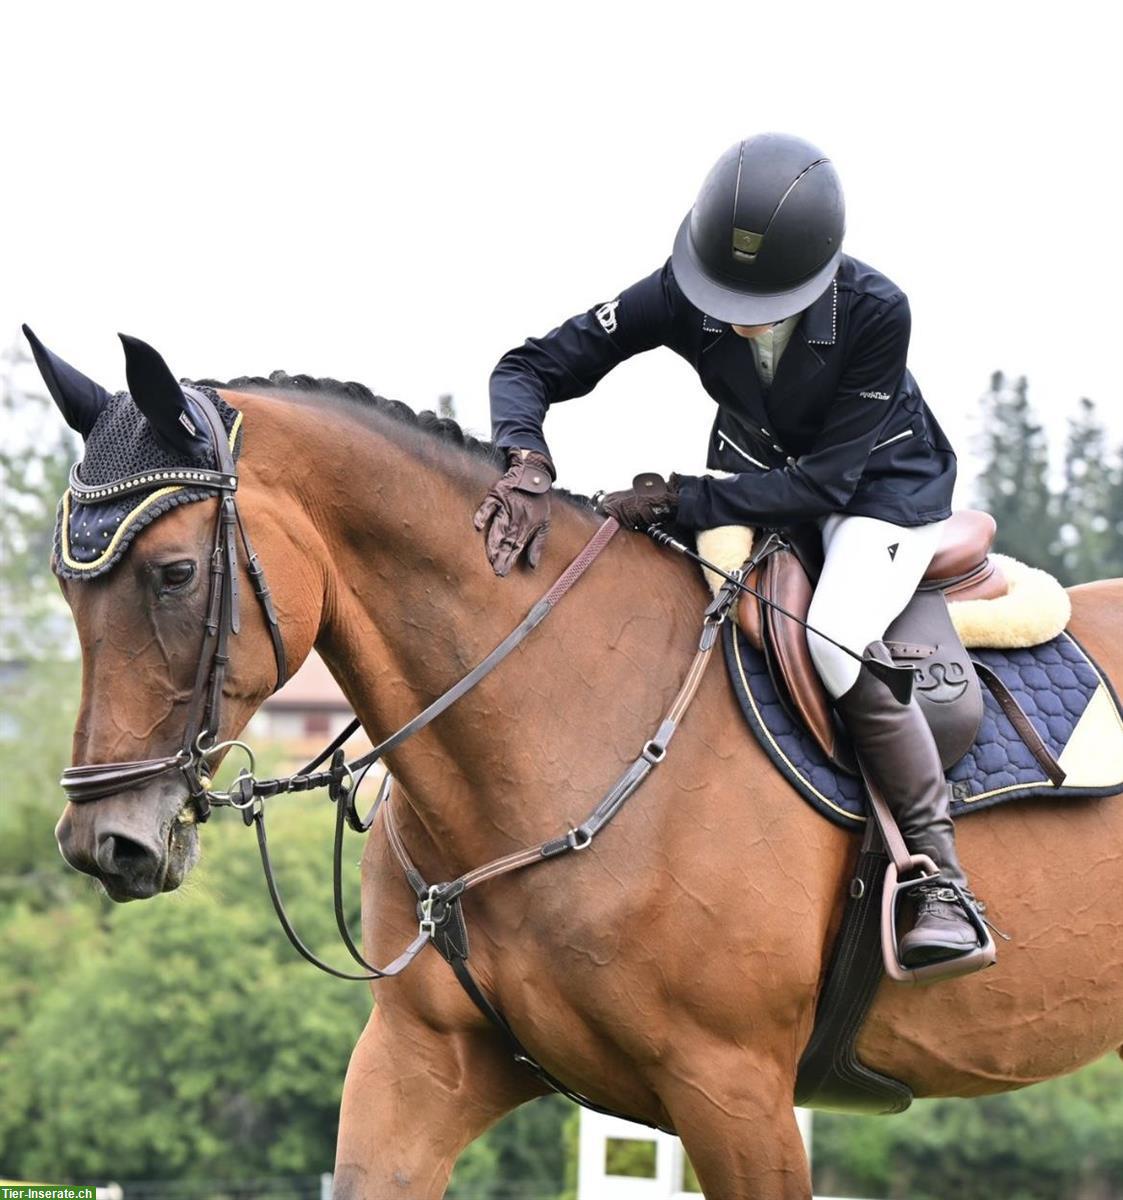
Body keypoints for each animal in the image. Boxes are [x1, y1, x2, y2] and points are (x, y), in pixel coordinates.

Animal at [43, 343, 1123, 1195]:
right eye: (63, 581)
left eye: (175, 573)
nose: (107, 842)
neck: (545, 728)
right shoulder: (416, 1062)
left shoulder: (735, 1090)